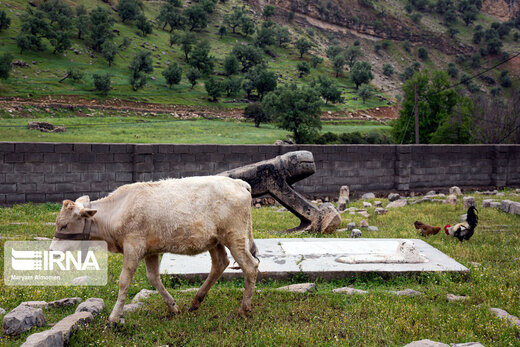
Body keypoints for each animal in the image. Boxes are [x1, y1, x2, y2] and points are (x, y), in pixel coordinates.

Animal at [51, 177, 258, 324]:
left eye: (64, 225)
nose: (52, 250)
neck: (116, 212)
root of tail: (238, 182)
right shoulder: (150, 251)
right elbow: (153, 278)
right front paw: (173, 307)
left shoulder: (133, 247)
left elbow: (124, 282)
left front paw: (113, 318)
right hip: (215, 240)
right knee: (220, 263)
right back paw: (196, 302)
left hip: (234, 236)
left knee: (250, 266)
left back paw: (244, 309)